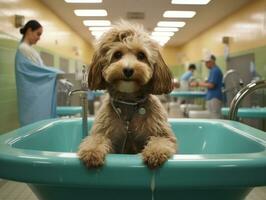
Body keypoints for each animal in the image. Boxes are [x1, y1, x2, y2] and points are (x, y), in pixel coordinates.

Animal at [78, 21, 178, 169]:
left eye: (141, 55)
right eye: (117, 54)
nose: (128, 70)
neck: (129, 103)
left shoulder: (164, 135)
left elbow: (160, 140)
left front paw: (155, 152)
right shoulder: (105, 133)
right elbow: (96, 139)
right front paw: (91, 151)